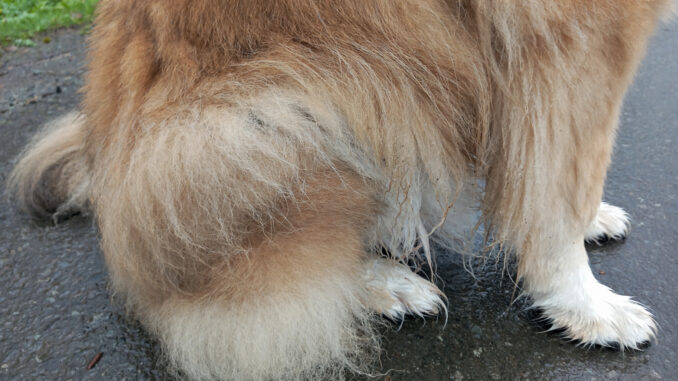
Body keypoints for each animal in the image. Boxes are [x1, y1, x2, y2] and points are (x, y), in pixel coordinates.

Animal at [7, 0, 676, 380]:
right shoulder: (575, 42)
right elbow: (560, 187)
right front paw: (586, 305)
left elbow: (554, 175)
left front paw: (589, 223)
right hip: (315, 100)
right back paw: (381, 285)